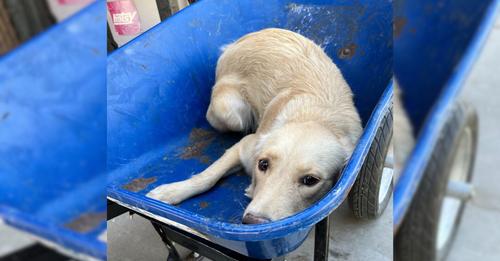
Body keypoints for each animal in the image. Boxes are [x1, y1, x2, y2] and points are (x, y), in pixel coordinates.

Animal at [146, 29, 362, 223]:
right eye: (263, 164)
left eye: (310, 180)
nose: (252, 222)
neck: (315, 118)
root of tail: (245, 38)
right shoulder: (245, 146)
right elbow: (207, 176)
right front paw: (171, 191)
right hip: (229, 112)